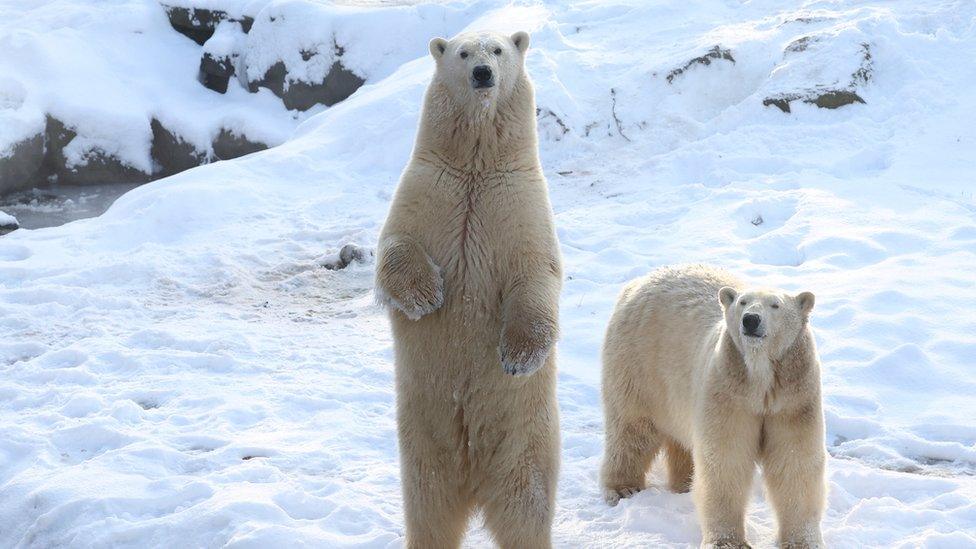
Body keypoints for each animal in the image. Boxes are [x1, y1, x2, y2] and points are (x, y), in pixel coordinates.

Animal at [380, 30, 568, 548]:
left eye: (499, 50)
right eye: (463, 53)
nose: (482, 74)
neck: (476, 166)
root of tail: (474, 477)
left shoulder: (516, 202)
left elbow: (534, 273)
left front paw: (517, 357)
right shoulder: (432, 187)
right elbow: (395, 244)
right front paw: (427, 296)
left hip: (524, 437)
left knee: (525, 505)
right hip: (423, 440)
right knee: (429, 508)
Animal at [604, 264, 824, 544]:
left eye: (775, 305)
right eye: (743, 302)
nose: (751, 320)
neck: (760, 378)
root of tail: (640, 282)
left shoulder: (792, 399)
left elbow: (795, 461)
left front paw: (801, 542)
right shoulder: (730, 393)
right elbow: (726, 459)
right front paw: (728, 542)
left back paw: (683, 483)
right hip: (639, 364)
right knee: (632, 428)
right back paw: (623, 488)